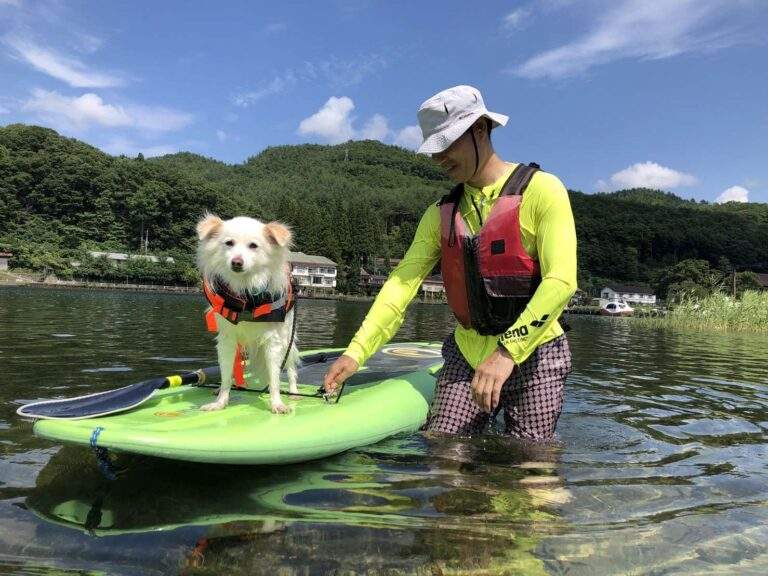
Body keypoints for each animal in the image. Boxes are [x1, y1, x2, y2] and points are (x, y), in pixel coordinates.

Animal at [196, 214, 298, 412]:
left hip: (287, 338)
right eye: (229, 243)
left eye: (253, 246)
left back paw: (294, 392)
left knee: (290, 368)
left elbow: (274, 378)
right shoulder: (227, 340)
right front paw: (220, 402)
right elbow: (226, 374)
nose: (237, 262)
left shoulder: (274, 341)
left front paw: (277, 404)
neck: (246, 296)